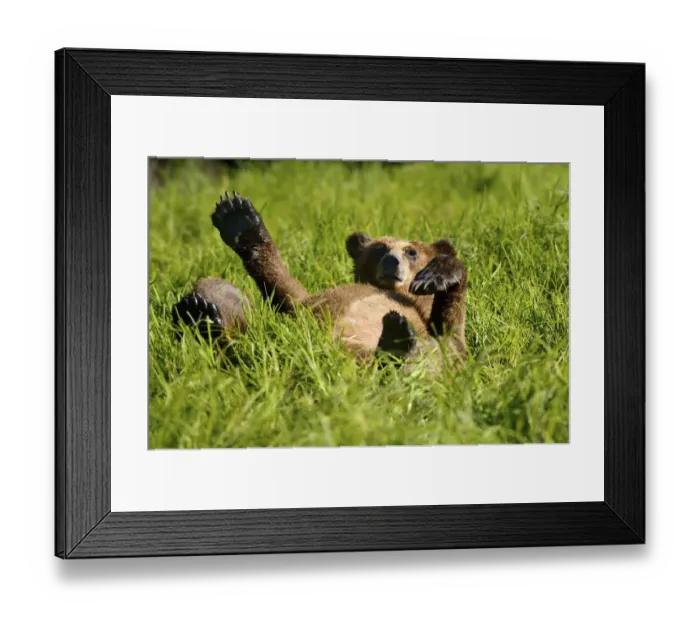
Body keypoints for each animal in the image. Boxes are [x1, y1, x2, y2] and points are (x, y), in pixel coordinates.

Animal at [172, 191, 468, 364]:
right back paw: (199, 315)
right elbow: (288, 291)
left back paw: (395, 341)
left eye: (411, 251)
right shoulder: (313, 300)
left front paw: (438, 274)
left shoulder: (425, 318)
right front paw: (239, 219)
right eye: (380, 248)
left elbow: (451, 333)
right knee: (219, 291)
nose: (392, 261)